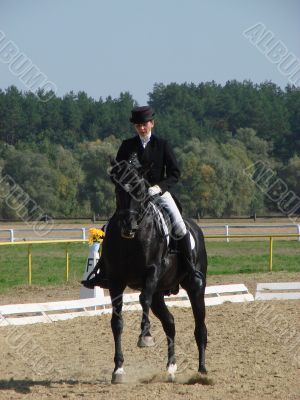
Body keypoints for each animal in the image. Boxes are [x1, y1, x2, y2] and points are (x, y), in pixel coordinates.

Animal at [99, 158, 207, 382]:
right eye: (118, 189)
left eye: (140, 190)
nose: (128, 225)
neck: (131, 240)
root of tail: (195, 227)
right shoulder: (115, 281)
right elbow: (117, 322)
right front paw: (118, 369)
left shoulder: (152, 272)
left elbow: (143, 300)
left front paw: (145, 336)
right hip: (160, 293)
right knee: (170, 324)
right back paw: (171, 368)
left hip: (195, 288)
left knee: (200, 327)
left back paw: (201, 371)